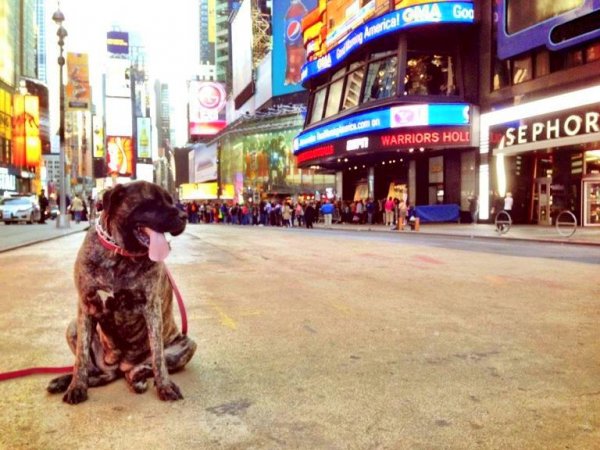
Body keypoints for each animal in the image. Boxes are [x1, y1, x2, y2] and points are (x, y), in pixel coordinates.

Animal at [48, 180, 197, 404]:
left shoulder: (151, 307)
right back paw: (65, 381)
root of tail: (120, 366)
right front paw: (77, 386)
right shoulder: (86, 304)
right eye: (151, 203)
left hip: (187, 343)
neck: (120, 254)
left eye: (171, 200)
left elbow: (158, 358)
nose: (184, 216)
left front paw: (165, 386)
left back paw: (137, 378)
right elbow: (81, 358)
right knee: (97, 371)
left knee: (140, 368)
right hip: (73, 327)